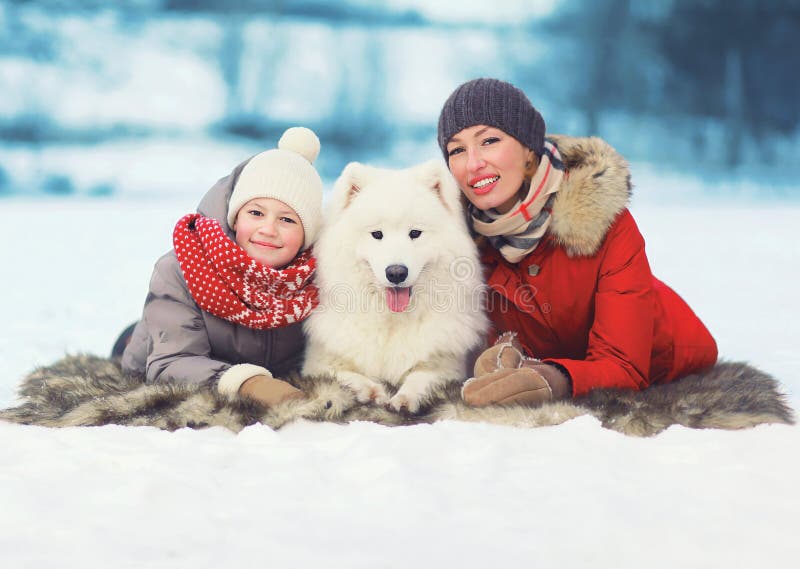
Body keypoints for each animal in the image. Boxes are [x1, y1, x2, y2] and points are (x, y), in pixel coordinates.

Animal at [300, 160, 488, 412]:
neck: (392, 320)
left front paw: (404, 398)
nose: (396, 272)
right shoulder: (317, 364)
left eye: (415, 233)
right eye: (377, 234)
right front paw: (371, 391)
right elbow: (344, 375)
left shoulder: (447, 365)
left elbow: (421, 377)